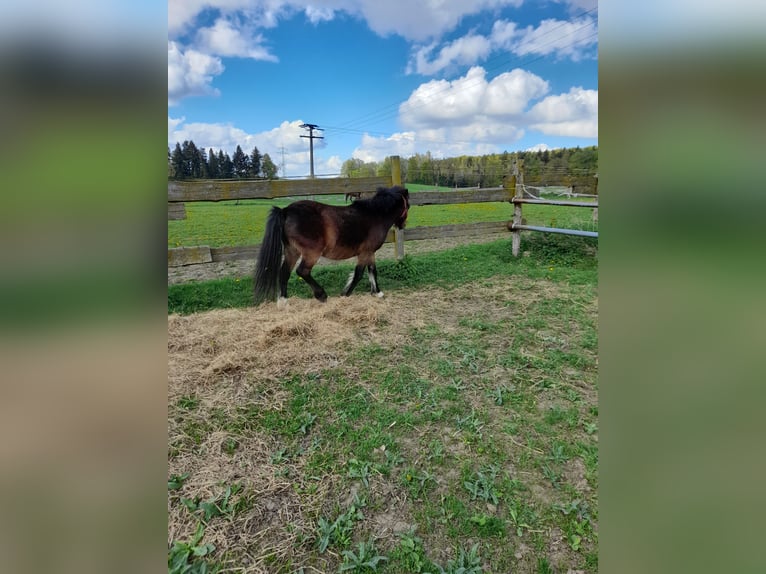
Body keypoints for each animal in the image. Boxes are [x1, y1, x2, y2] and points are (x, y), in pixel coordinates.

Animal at [253, 186, 410, 305]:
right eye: (408, 205)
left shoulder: (370, 252)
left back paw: (283, 302)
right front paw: (345, 294)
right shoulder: (365, 252)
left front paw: (378, 293)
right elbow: (358, 274)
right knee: (302, 271)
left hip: (292, 251)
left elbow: (372, 271)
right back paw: (321, 295)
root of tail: (285, 211)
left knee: (284, 272)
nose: (402, 225)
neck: (375, 215)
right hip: (311, 253)